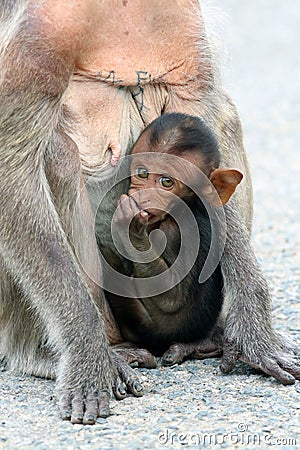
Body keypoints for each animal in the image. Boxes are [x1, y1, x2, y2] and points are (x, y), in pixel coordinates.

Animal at [104, 112, 243, 366]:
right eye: (142, 173)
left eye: (166, 182)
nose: (143, 198)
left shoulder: (176, 231)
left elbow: (171, 297)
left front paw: (132, 231)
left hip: (144, 327)